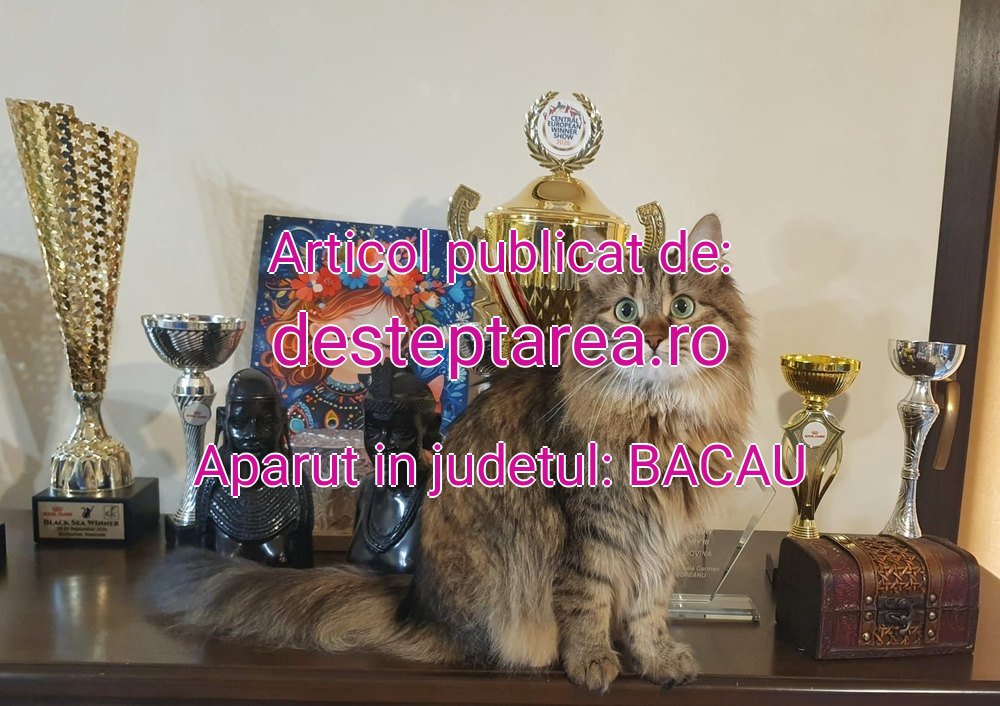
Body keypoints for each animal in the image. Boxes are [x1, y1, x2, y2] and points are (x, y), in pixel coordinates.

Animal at [148, 213, 754, 693]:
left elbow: (650, 609)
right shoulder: (591, 527)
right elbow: (588, 602)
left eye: (682, 307)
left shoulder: (661, 533)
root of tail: (415, 605)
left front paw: (657, 658)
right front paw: (593, 661)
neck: (658, 416)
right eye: (626, 310)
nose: (654, 337)